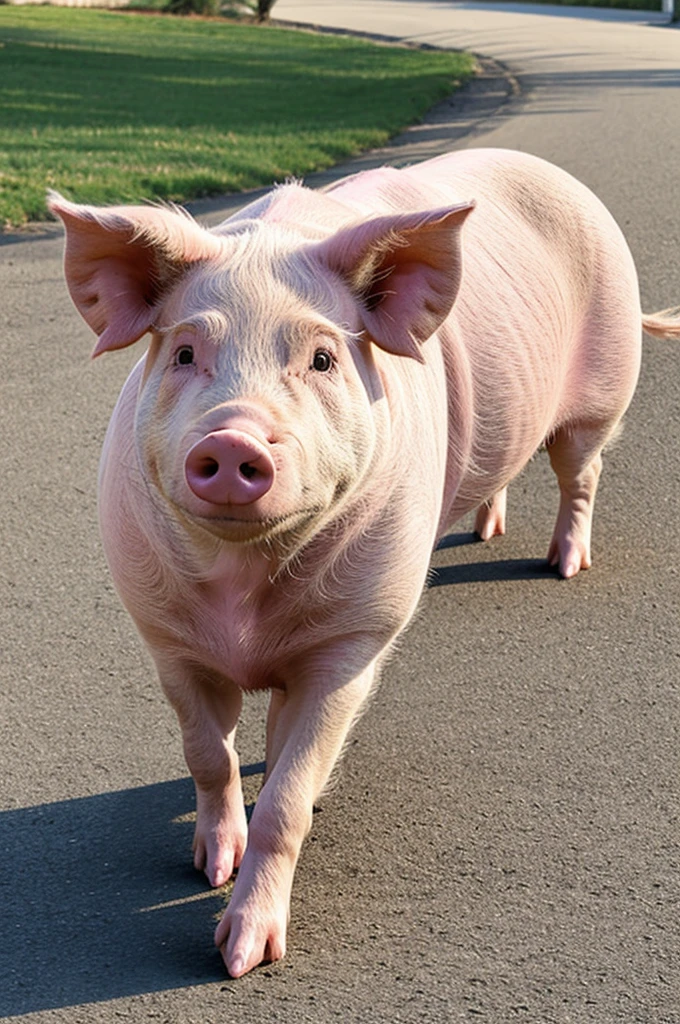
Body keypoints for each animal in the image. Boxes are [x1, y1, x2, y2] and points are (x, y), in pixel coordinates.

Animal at [49, 146, 680, 974]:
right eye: (185, 352)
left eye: (322, 358)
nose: (233, 438)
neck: (245, 597)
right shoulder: (167, 639)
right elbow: (208, 755)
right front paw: (210, 866)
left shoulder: (354, 642)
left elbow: (286, 798)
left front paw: (243, 957)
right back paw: (486, 531)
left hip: (604, 392)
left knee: (582, 472)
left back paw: (563, 564)